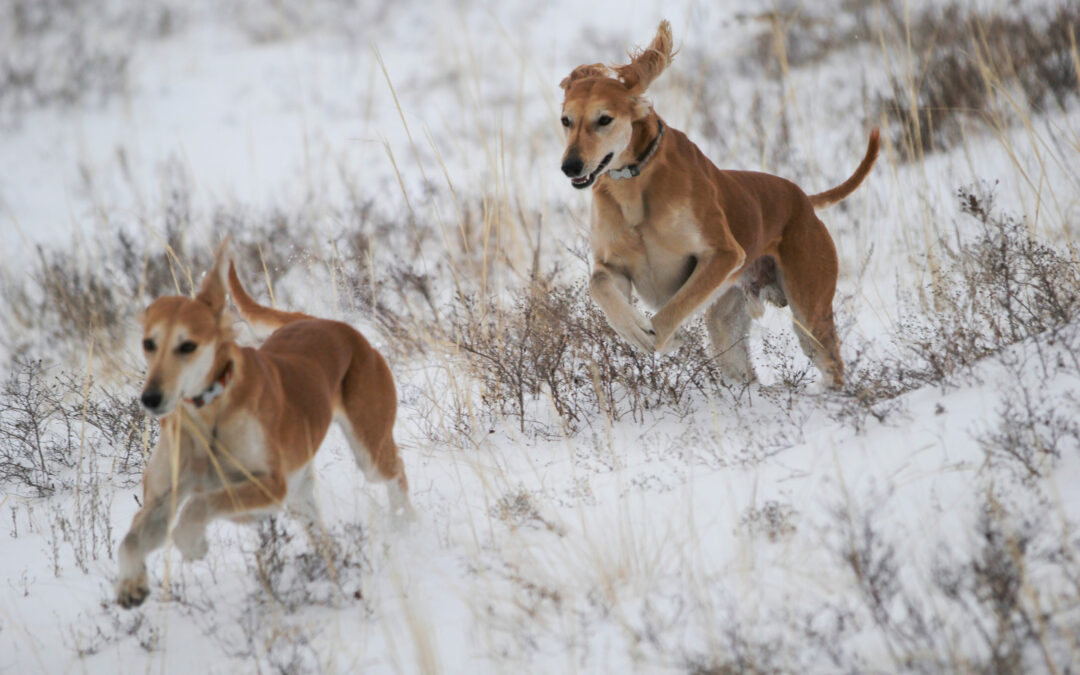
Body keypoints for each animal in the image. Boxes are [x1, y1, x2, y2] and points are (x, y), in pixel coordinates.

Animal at [117, 245, 412, 609]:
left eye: (187, 345)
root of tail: (322, 322)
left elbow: (200, 504)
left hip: (368, 451)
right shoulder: (162, 497)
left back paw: (406, 525)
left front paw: (192, 542)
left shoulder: (269, 487)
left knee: (395, 471)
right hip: (300, 494)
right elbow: (132, 538)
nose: (151, 398)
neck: (210, 414)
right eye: (149, 343)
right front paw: (131, 584)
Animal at [561, 21, 881, 386]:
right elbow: (598, 284)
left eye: (604, 119)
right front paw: (635, 330)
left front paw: (661, 336)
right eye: (566, 120)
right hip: (726, 321)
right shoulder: (614, 266)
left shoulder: (724, 254)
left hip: (809, 309)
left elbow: (674, 308)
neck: (634, 181)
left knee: (831, 363)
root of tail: (803, 200)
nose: (570, 166)